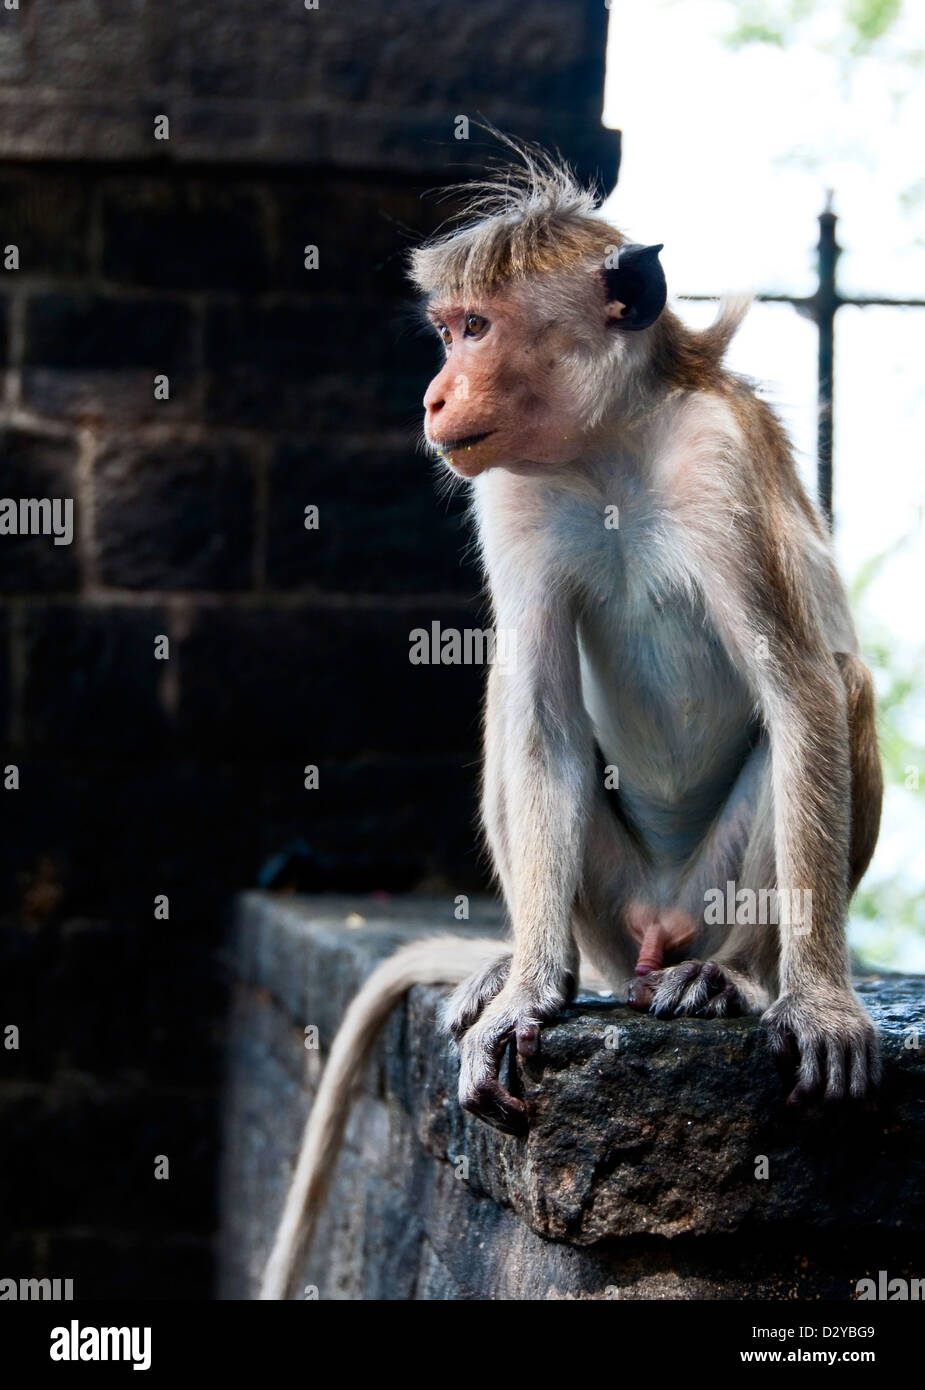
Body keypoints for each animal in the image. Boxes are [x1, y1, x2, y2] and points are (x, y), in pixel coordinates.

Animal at [257, 143, 879, 1301]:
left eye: (475, 327)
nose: (433, 392)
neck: (607, 449)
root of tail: (646, 929)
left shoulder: (720, 463)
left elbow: (802, 693)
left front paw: (818, 1002)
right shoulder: (505, 494)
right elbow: (538, 710)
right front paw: (523, 996)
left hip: (700, 891)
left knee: (842, 686)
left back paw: (728, 974)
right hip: (605, 898)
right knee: (510, 696)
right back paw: (524, 963)